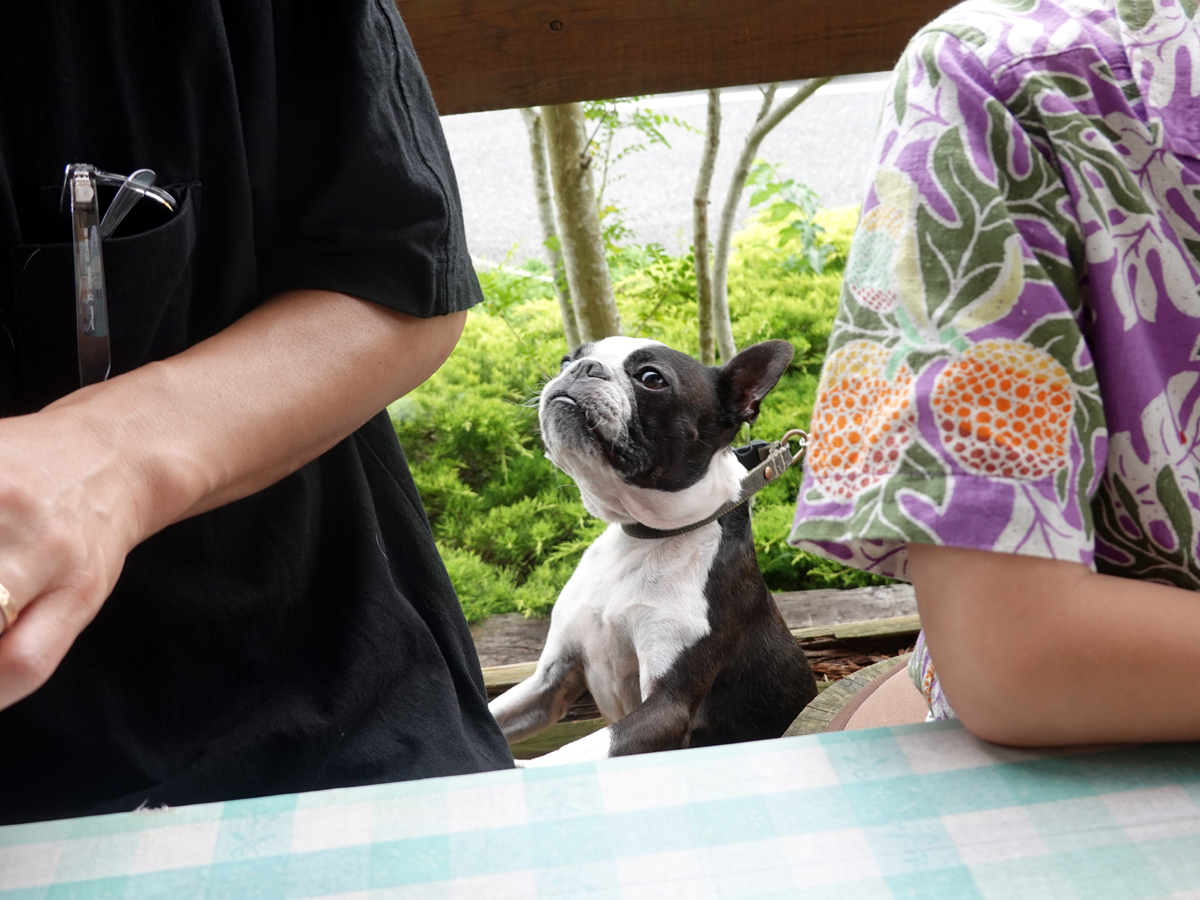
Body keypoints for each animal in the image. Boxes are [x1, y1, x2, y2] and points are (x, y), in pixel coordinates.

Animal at [487, 336, 816, 763]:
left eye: (651, 378)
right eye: (566, 360)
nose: (583, 368)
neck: (645, 537)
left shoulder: (665, 708)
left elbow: (564, 755)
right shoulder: (549, 683)